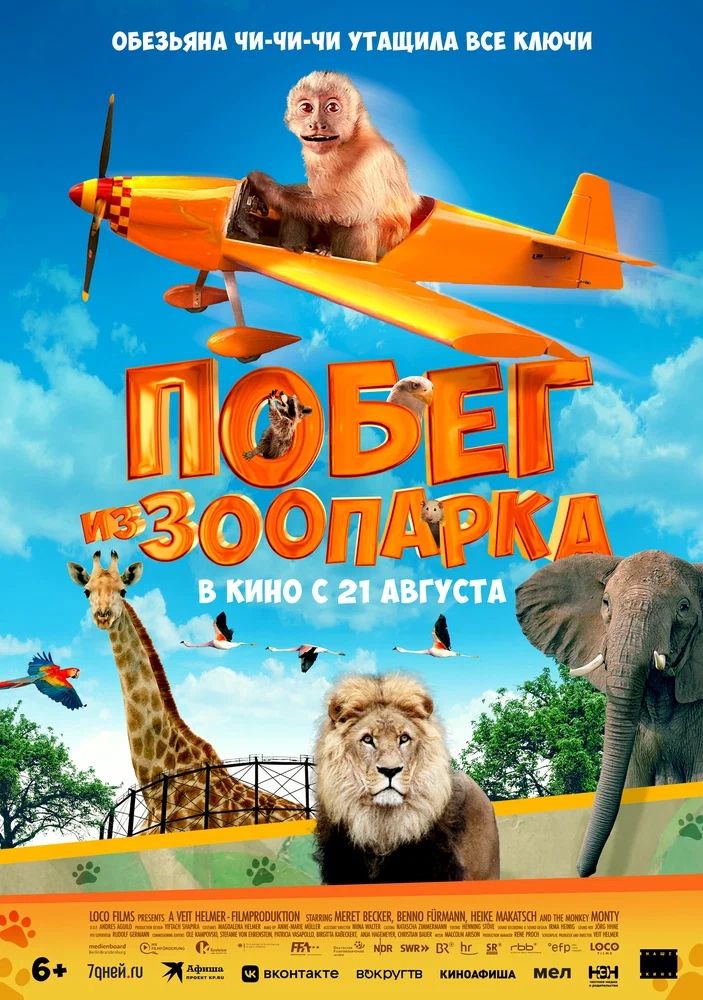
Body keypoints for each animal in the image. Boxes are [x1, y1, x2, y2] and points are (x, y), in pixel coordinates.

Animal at [246, 71, 419, 262]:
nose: (316, 124)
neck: (345, 145)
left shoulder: (374, 156)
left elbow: (351, 208)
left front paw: (266, 187)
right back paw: (297, 244)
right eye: (307, 107)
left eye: (332, 107)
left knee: (361, 219)